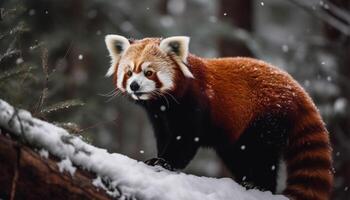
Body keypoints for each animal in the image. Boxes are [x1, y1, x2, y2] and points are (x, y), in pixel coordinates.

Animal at [104, 35, 334, 199]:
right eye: (128, 73)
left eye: (149, 72)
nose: (134, 86)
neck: (163, 104)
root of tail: (296, 87)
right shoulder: (159, 117)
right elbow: (164, 136)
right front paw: (158, 157)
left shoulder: (194, 103)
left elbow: (186, 139)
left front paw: (165, 162)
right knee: (238, 154)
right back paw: (245, 180)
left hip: (267, 118)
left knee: (263, 156)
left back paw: (260, 185)